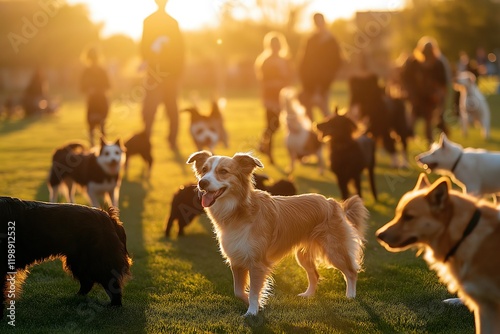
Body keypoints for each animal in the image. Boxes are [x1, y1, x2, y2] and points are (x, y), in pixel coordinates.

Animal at [187, 151, 368, 316]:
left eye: (223, 171)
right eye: (204, 170)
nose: (202, 182)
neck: (239, 211)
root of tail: (332, 203)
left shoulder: (257, 263)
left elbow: (254, 290)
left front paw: (252, 311)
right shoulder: (236, 260)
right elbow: (238, 291)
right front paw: (257, 304)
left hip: (334, 250)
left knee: (351, 272)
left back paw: (350, 296)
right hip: (303, 255)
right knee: (315, 275)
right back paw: (308, 295)